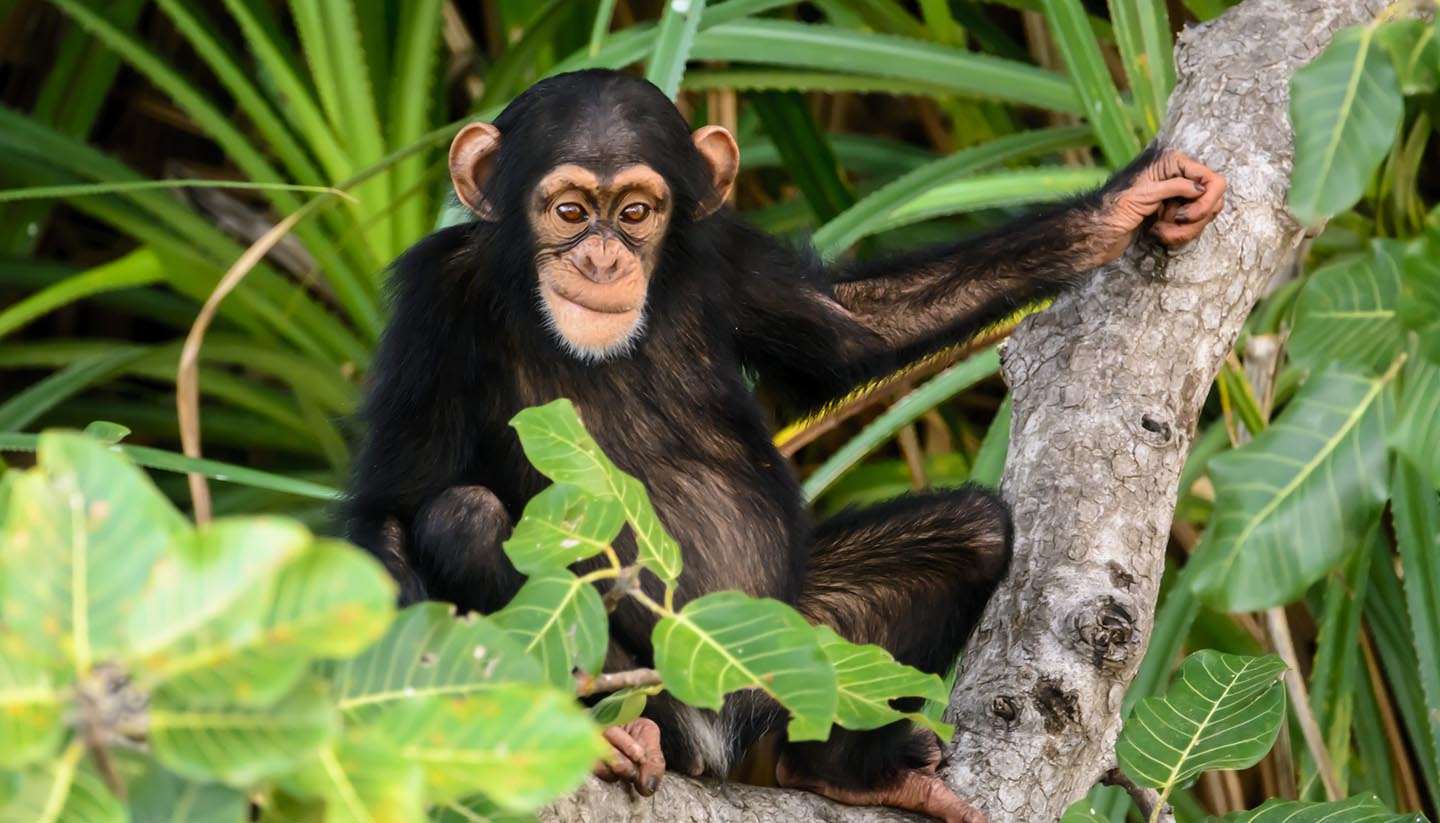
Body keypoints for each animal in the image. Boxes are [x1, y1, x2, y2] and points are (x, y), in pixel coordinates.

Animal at [344, 69, 1225, 823]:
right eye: (566, 211)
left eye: (635, 212)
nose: (602, 257)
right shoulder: (434, 302)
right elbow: (392, 504)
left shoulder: (730, 257)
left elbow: (855, 328)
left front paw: (1120, 208)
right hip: (661, 681)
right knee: (462, 517)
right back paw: (616, 730)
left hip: (785, 651)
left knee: (971, 535)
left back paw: (842, 768)